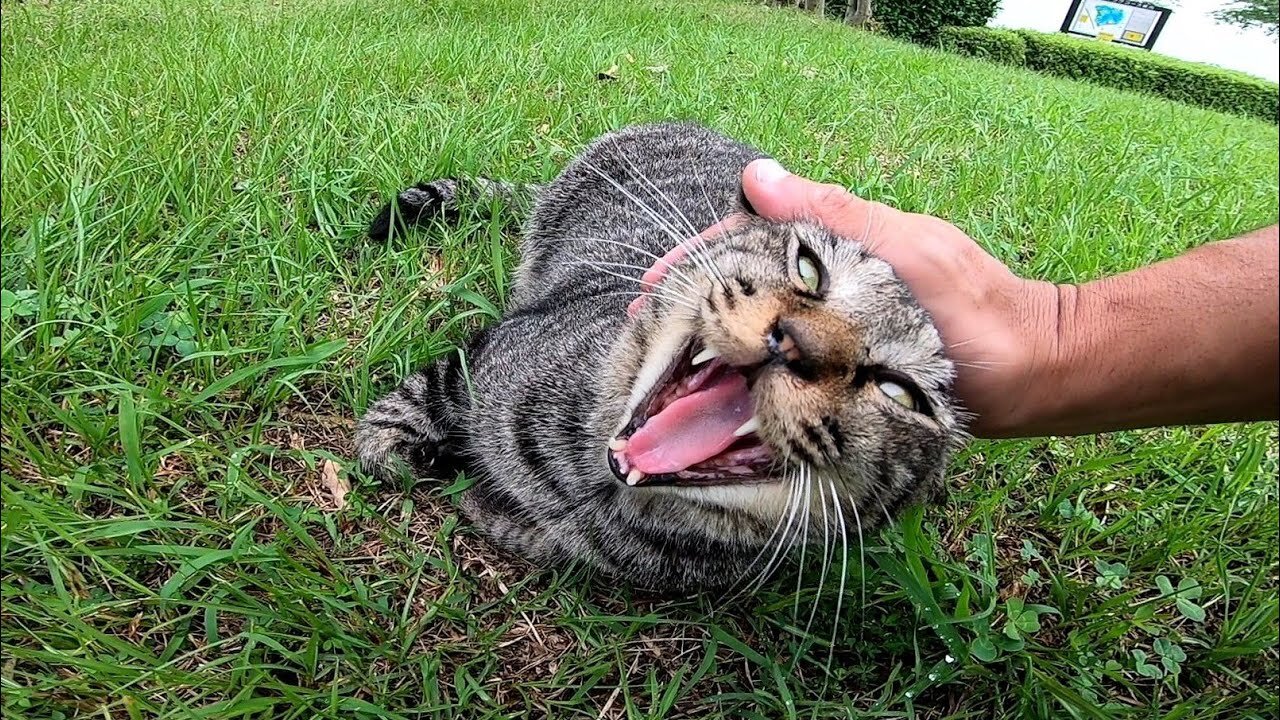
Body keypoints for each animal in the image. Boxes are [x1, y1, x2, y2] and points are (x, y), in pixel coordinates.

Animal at [355, 121, 962, 589]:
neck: (587, 485)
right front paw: (389, 450)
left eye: (900, 392)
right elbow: (415, 398)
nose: (795, 341)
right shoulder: (488, 357)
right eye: (809, 267)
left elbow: (541, 540)